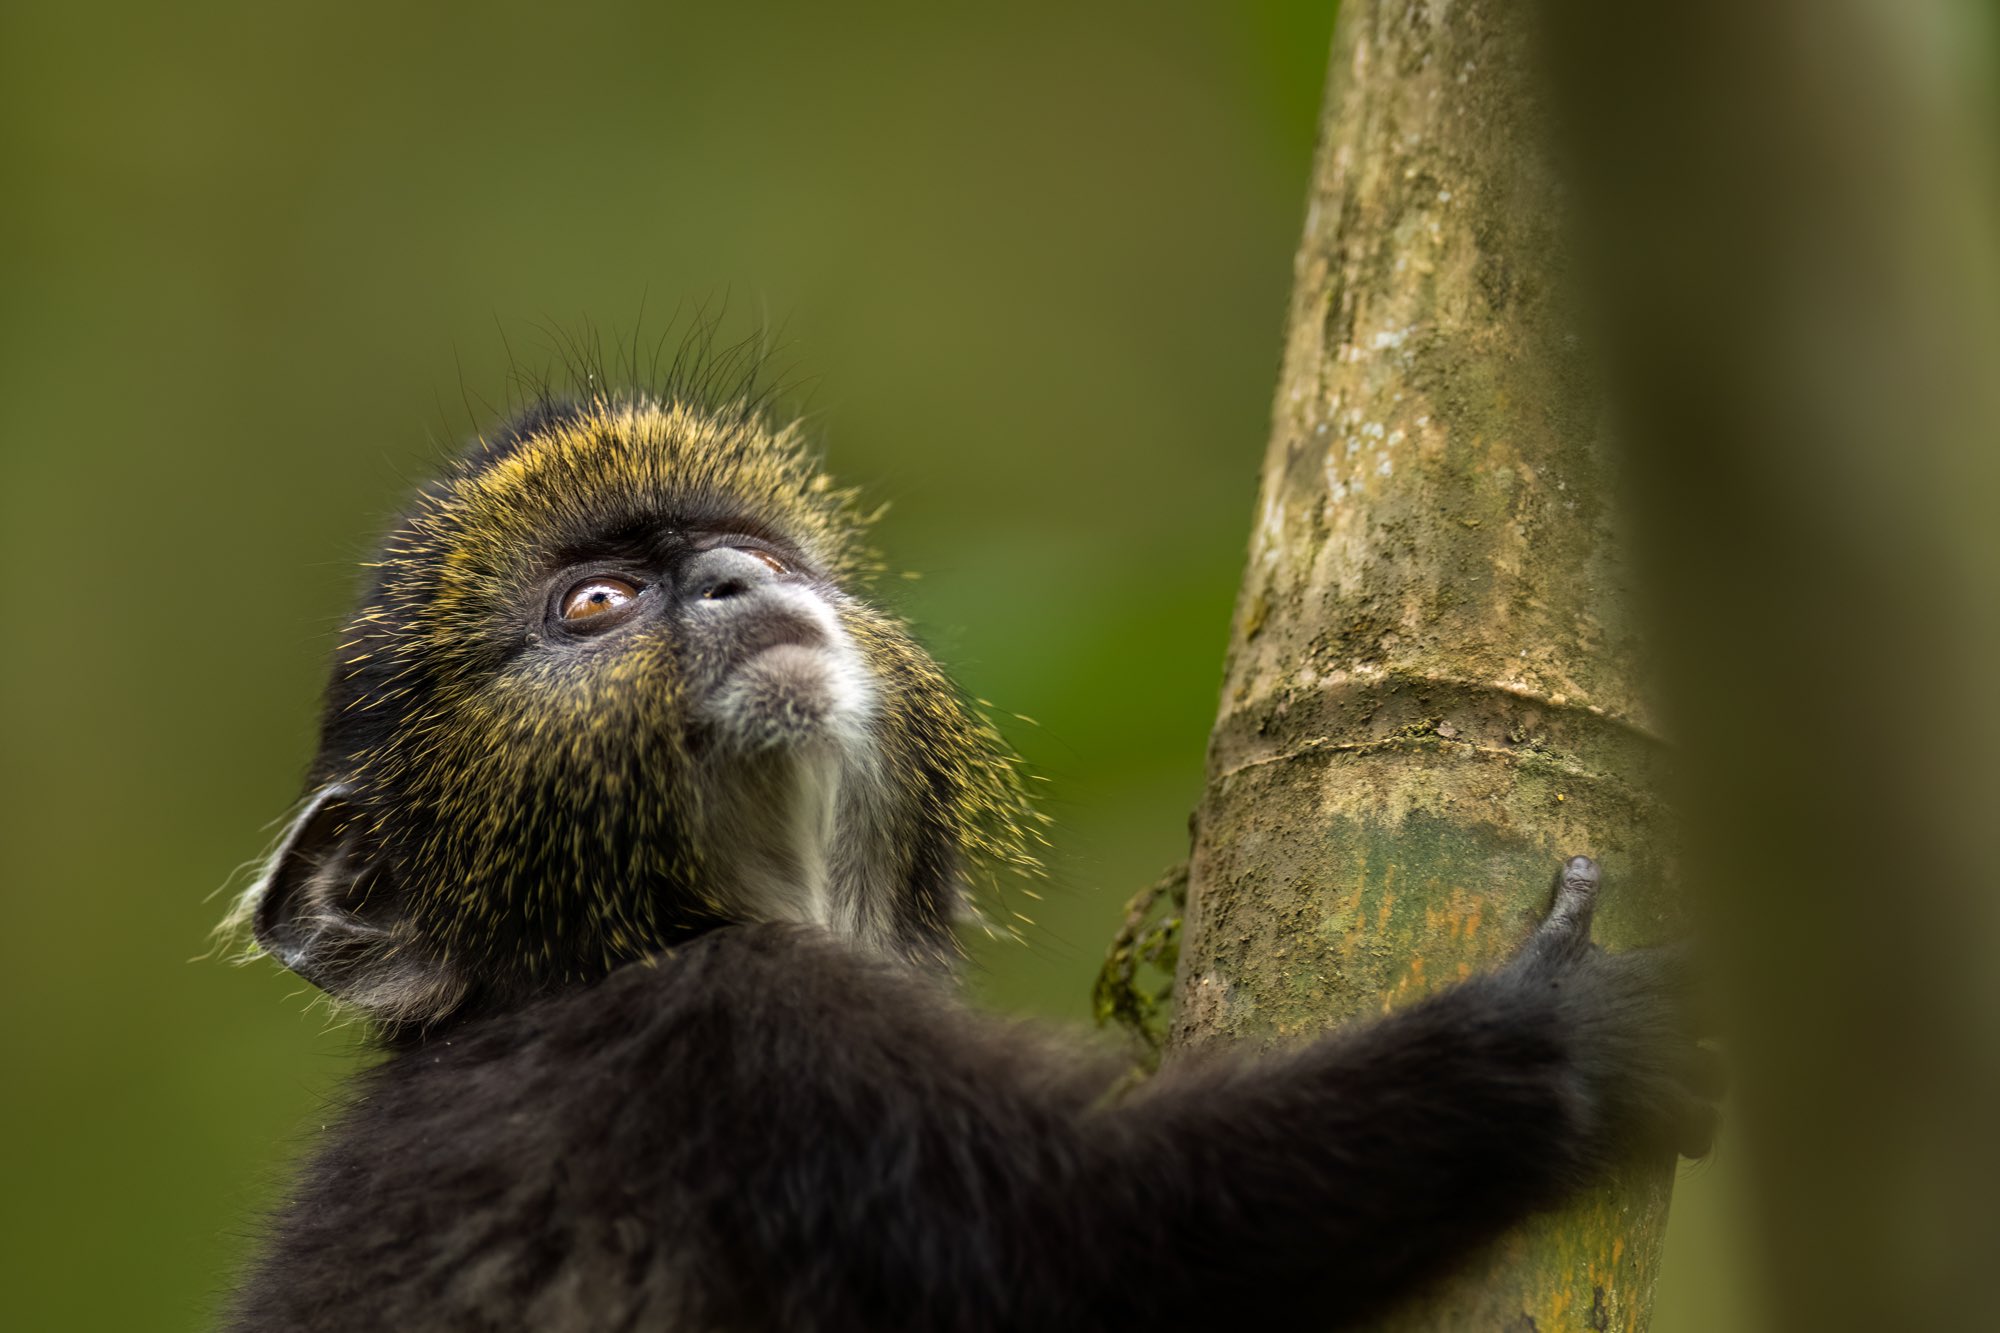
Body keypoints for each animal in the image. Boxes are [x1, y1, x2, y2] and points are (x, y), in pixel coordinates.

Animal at [221, 391, 1716, 1332]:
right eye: (597, 604)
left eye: (746, 552)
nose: (739, 581)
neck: (586, 961)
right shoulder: (744, 1033)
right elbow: (1104, 1237)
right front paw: (1559, 1036)